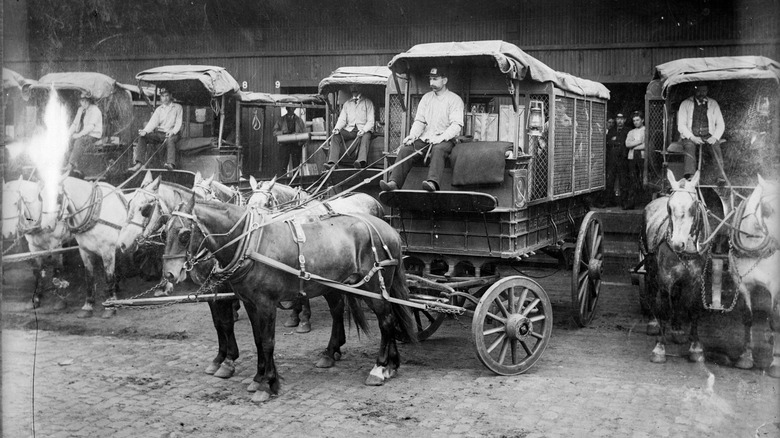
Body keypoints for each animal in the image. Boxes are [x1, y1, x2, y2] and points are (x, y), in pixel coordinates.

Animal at [2, 177, 72, 308]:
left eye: (15, 203)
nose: (6, 233)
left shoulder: (56, 246)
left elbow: (57, 268)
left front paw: (60, 299)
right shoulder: (33, 247)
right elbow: (38, 270)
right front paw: (37, 297)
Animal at [40, 175, 129, 318]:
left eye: (58, 196)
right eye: (41, 196)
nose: (46, 226)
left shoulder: (107, 251)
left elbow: (108, 277)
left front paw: (110, 307)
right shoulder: (84, 251)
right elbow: (89, 277)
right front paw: (88, 306)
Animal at [161, 197, 418, 402]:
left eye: (184, 235)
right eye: (164, 232)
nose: (169, 274)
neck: (252, 243)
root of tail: (388, 229)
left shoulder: (266, 304)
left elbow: (267, 342)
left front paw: (268, 384)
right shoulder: (250, 303)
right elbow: (257, 340)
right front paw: (258, 377)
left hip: (373, 287)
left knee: (386, 322)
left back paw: (379, 368)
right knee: (376, 316)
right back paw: (387, 364)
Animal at [247, 175, 384, 332]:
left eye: (267, 202)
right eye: (249, 202)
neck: (298, 216)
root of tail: (373, 200)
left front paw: (304, 320)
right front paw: (294, 316)